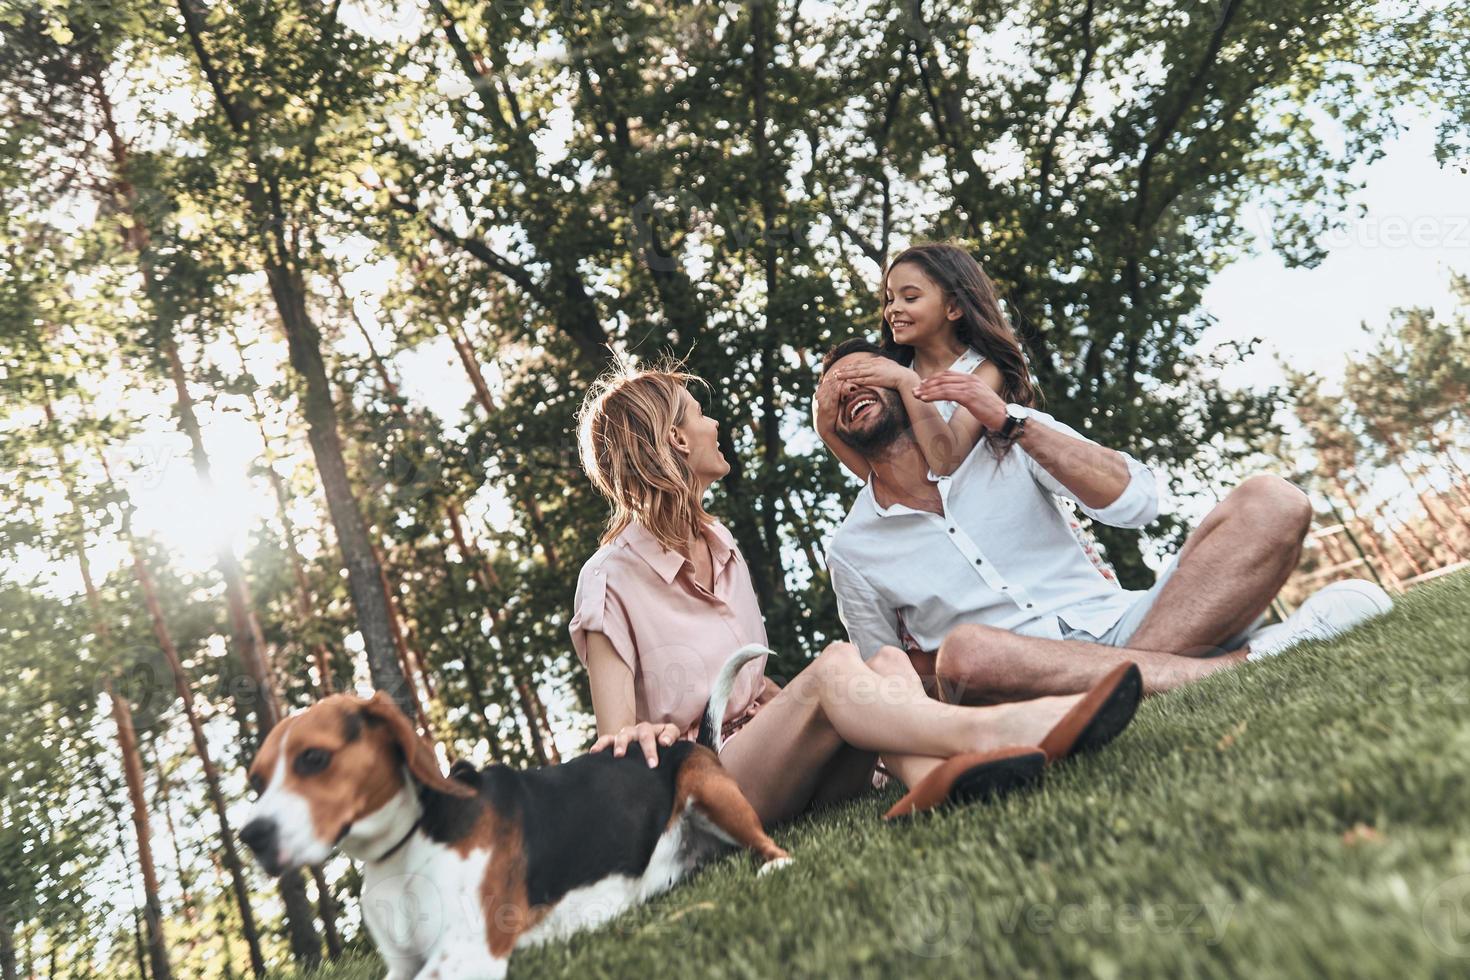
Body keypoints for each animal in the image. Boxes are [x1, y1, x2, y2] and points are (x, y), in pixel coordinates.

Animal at [238, 646, 793, 975]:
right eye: (256, 781)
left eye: (313, 758)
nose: (251, 836)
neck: (405, 848)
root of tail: (693, 743)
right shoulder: (400, 964)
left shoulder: (466, 951)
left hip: (710, 791)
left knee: (772, 846)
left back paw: (773, 866)